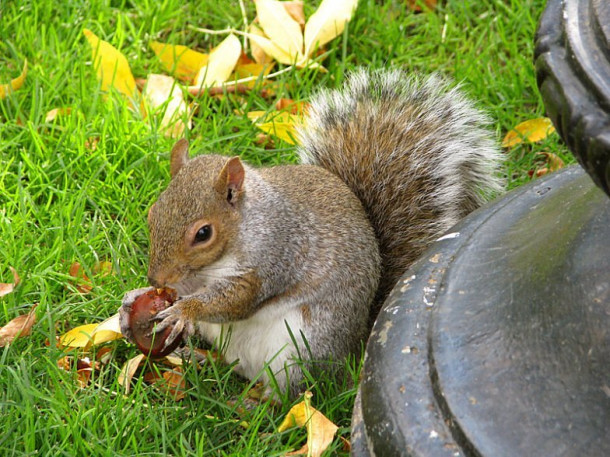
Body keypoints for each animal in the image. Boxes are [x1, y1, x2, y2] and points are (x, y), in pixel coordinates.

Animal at [116, 67, 502, 396]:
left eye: (203, 234)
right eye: (152, 213)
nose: (156, 277)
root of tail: (354, 346)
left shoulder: (277, 255)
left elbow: (236, 300)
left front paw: (183, 310)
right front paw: (133, 300)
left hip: (299, 349)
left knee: (285, 393)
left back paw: (250, 404)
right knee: (232, 365)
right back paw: (199, 360)